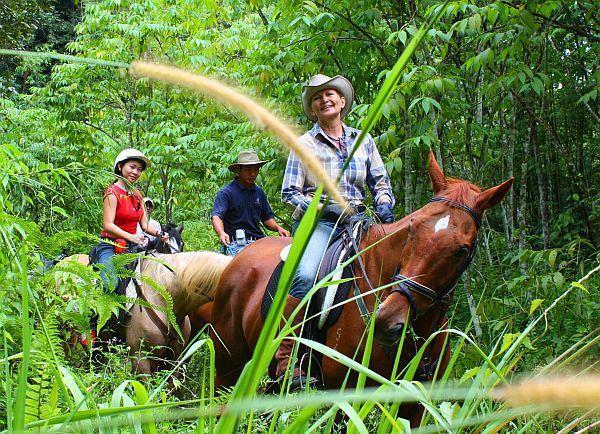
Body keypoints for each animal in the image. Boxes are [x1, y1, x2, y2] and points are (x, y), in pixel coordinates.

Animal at [192, 151, 510, 418]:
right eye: (412, 229)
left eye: (462, 250)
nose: (387, 321)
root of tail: (236, 258)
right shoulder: (342, 399)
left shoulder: (415, 403)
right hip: (226, 370)